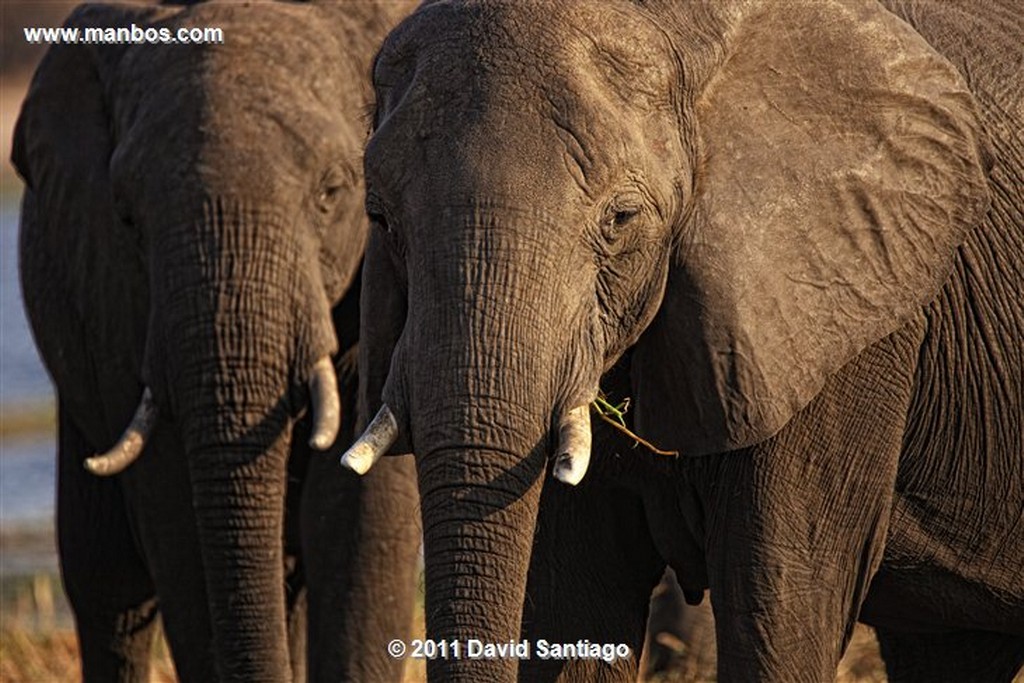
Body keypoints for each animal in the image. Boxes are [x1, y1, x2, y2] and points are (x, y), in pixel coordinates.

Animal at [12, 2, 419, 679]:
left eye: (332, 193)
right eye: (127, 217)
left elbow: (361, 521)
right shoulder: (118, 296)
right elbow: (174, 517)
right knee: (108, 587)